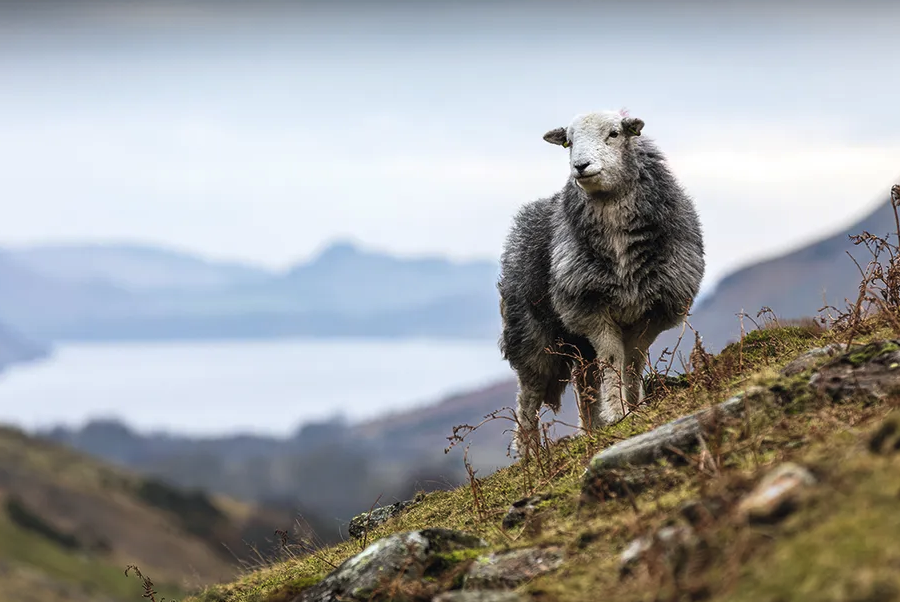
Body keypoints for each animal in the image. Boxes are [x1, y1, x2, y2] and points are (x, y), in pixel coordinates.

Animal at [500, 109, 704, 450]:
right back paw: (529, 451)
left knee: (584, 381)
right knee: (529, 392)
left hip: (576, 344)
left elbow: (632, 361)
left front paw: (635, 407)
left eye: (614, 134)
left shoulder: (652, 312)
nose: (580, 166)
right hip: (530, 331)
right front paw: (617, 411)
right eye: (568, 141)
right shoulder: (588, 308)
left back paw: (590, 430)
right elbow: (612, 357)